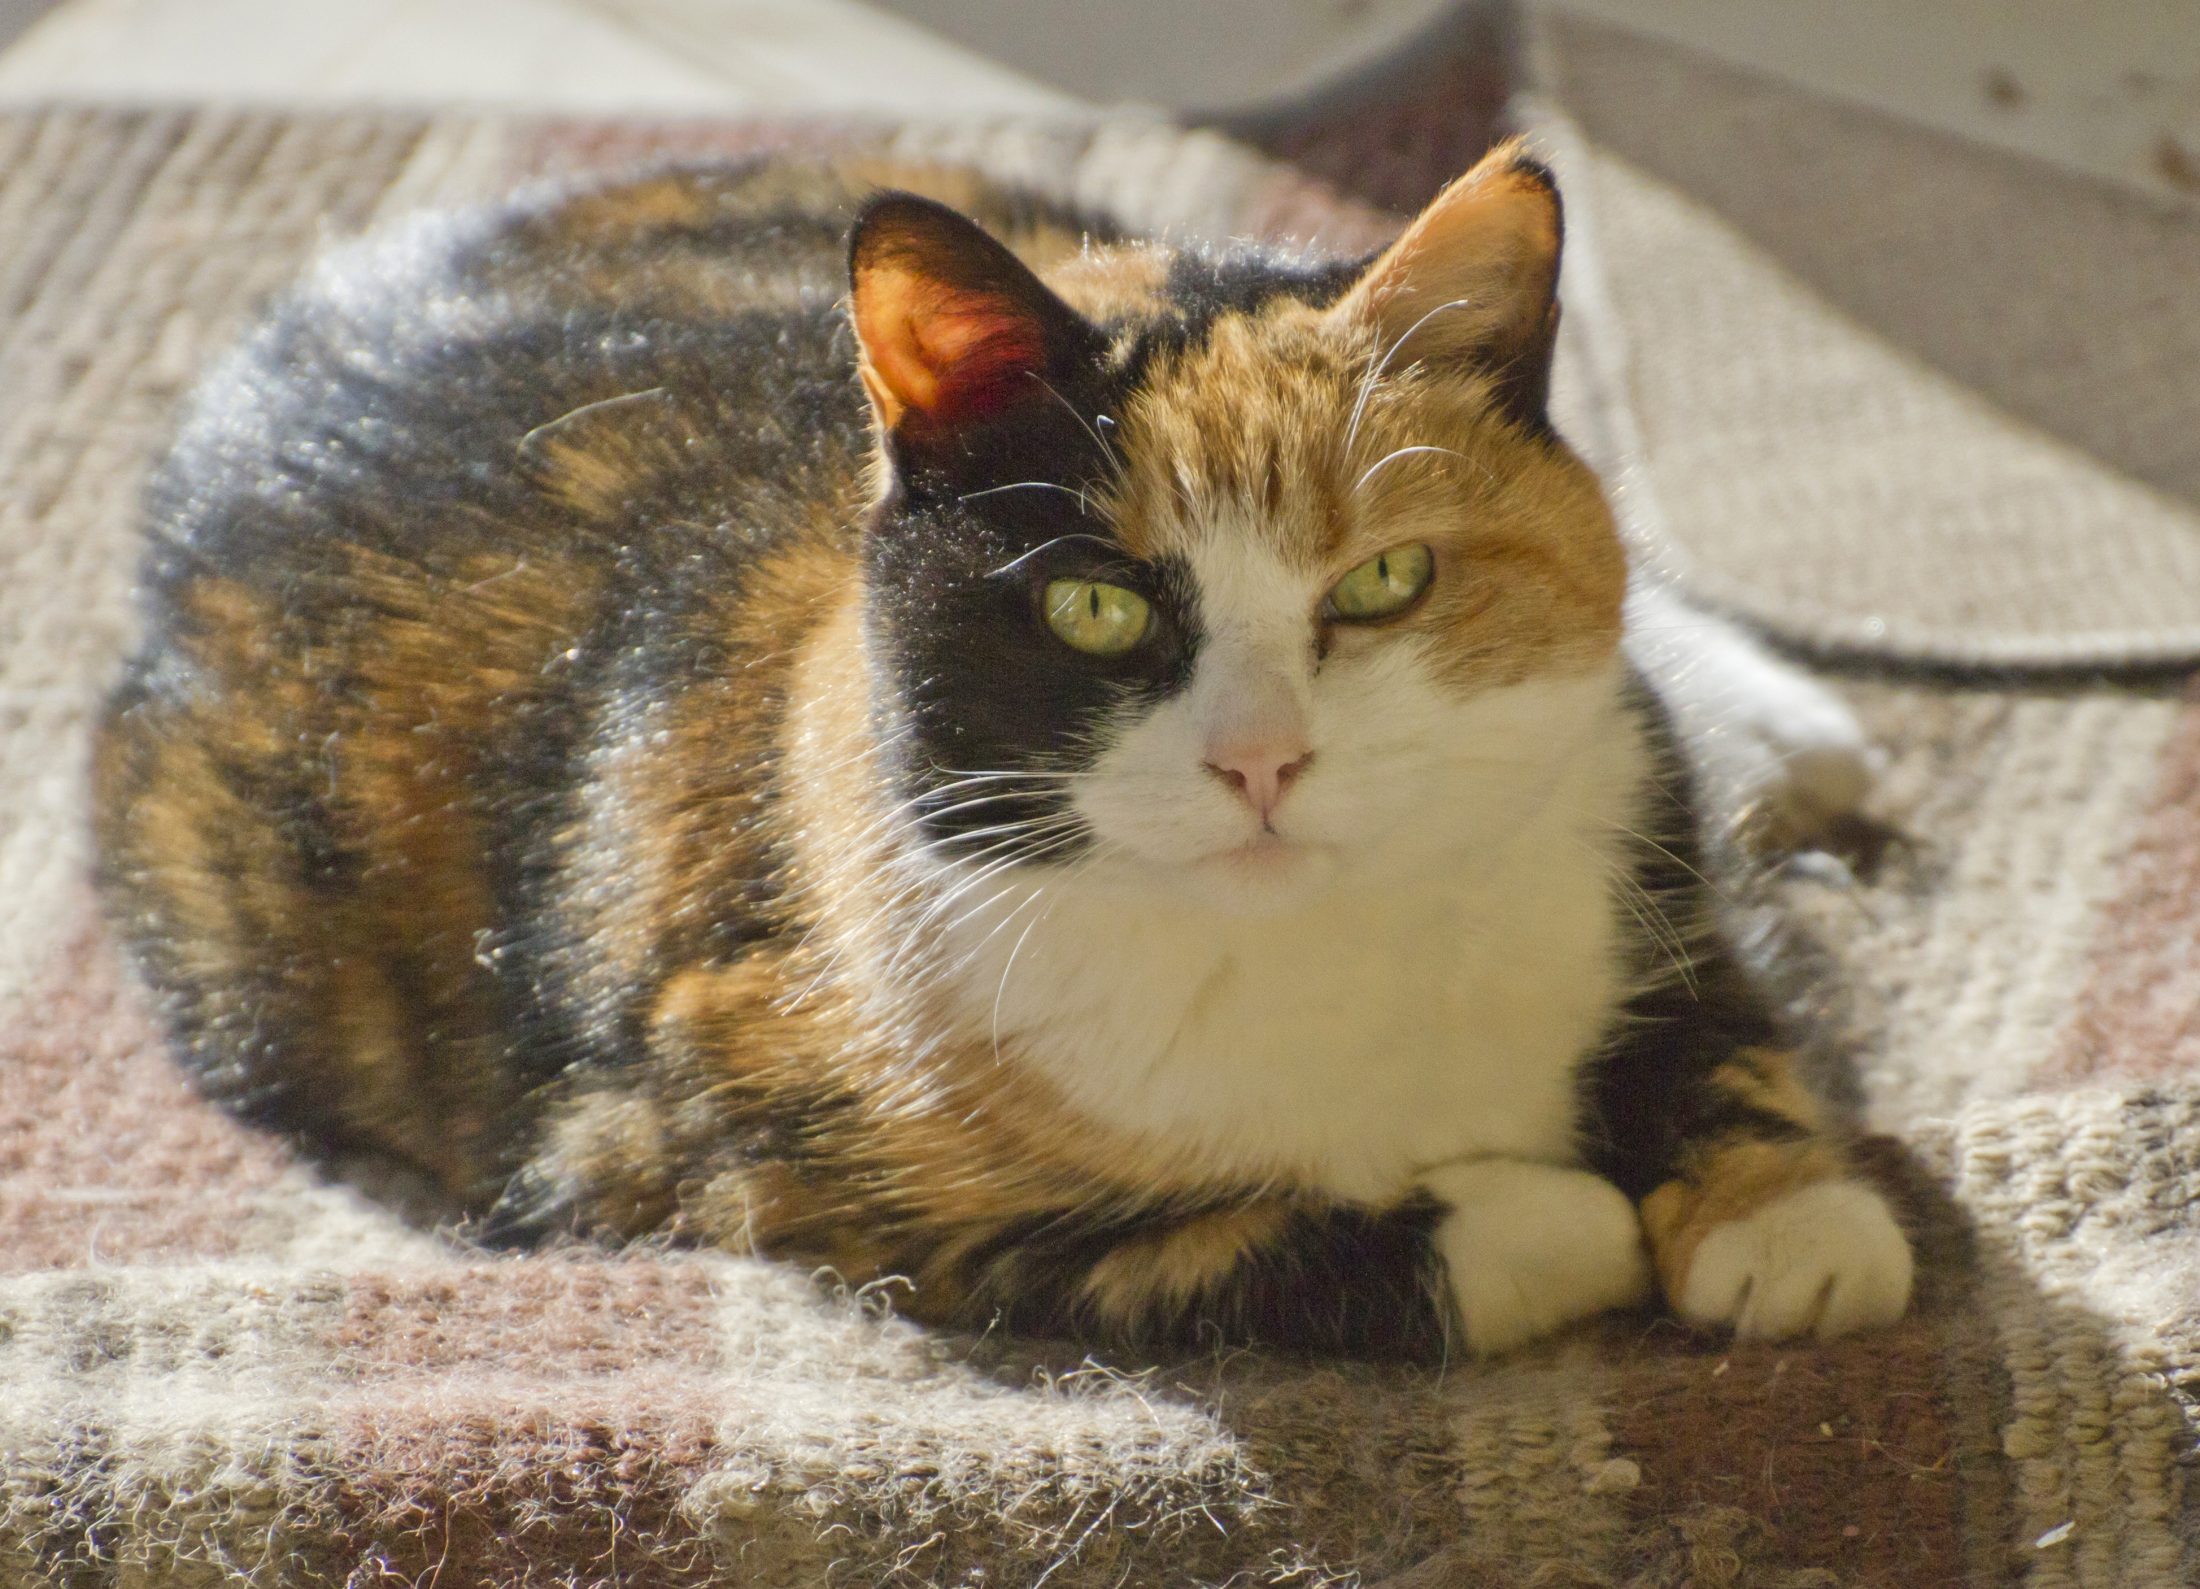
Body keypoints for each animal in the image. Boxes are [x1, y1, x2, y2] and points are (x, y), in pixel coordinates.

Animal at [94, 145, 1909, 1346]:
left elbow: (1713, 1010)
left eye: (1387, 580)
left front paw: (1795, 1219)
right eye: (1094, 607)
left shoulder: (1631, 818)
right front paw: (1558, 1220)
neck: (1338, 952)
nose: (1264, 761)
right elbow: (1233, 1256)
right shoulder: (739, 1159)